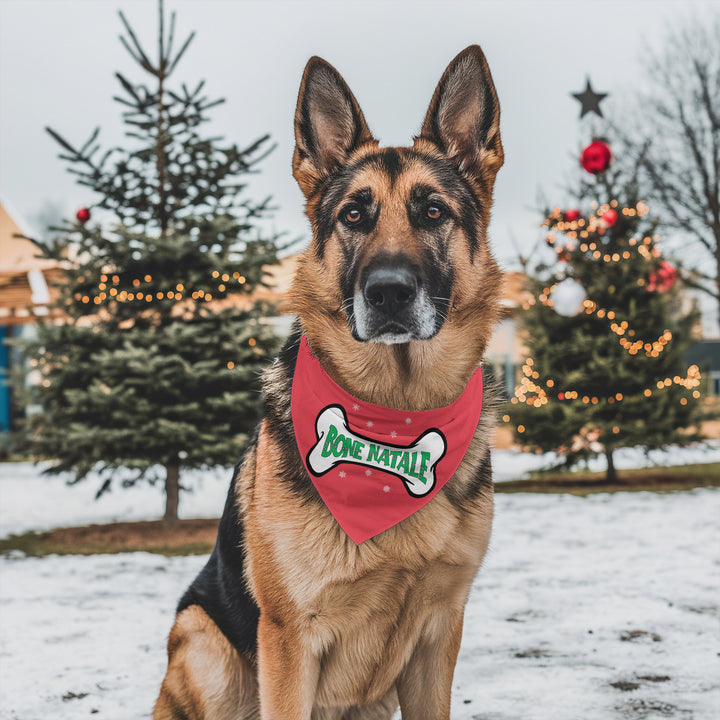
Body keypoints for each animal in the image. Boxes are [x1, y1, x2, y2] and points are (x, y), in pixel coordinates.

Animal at [155, 45, 504, 720]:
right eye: (353, 216)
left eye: (433, 211)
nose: (389, 291)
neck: (393, 415)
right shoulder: (290, 641)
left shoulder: (439, 633)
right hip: (202, 639)